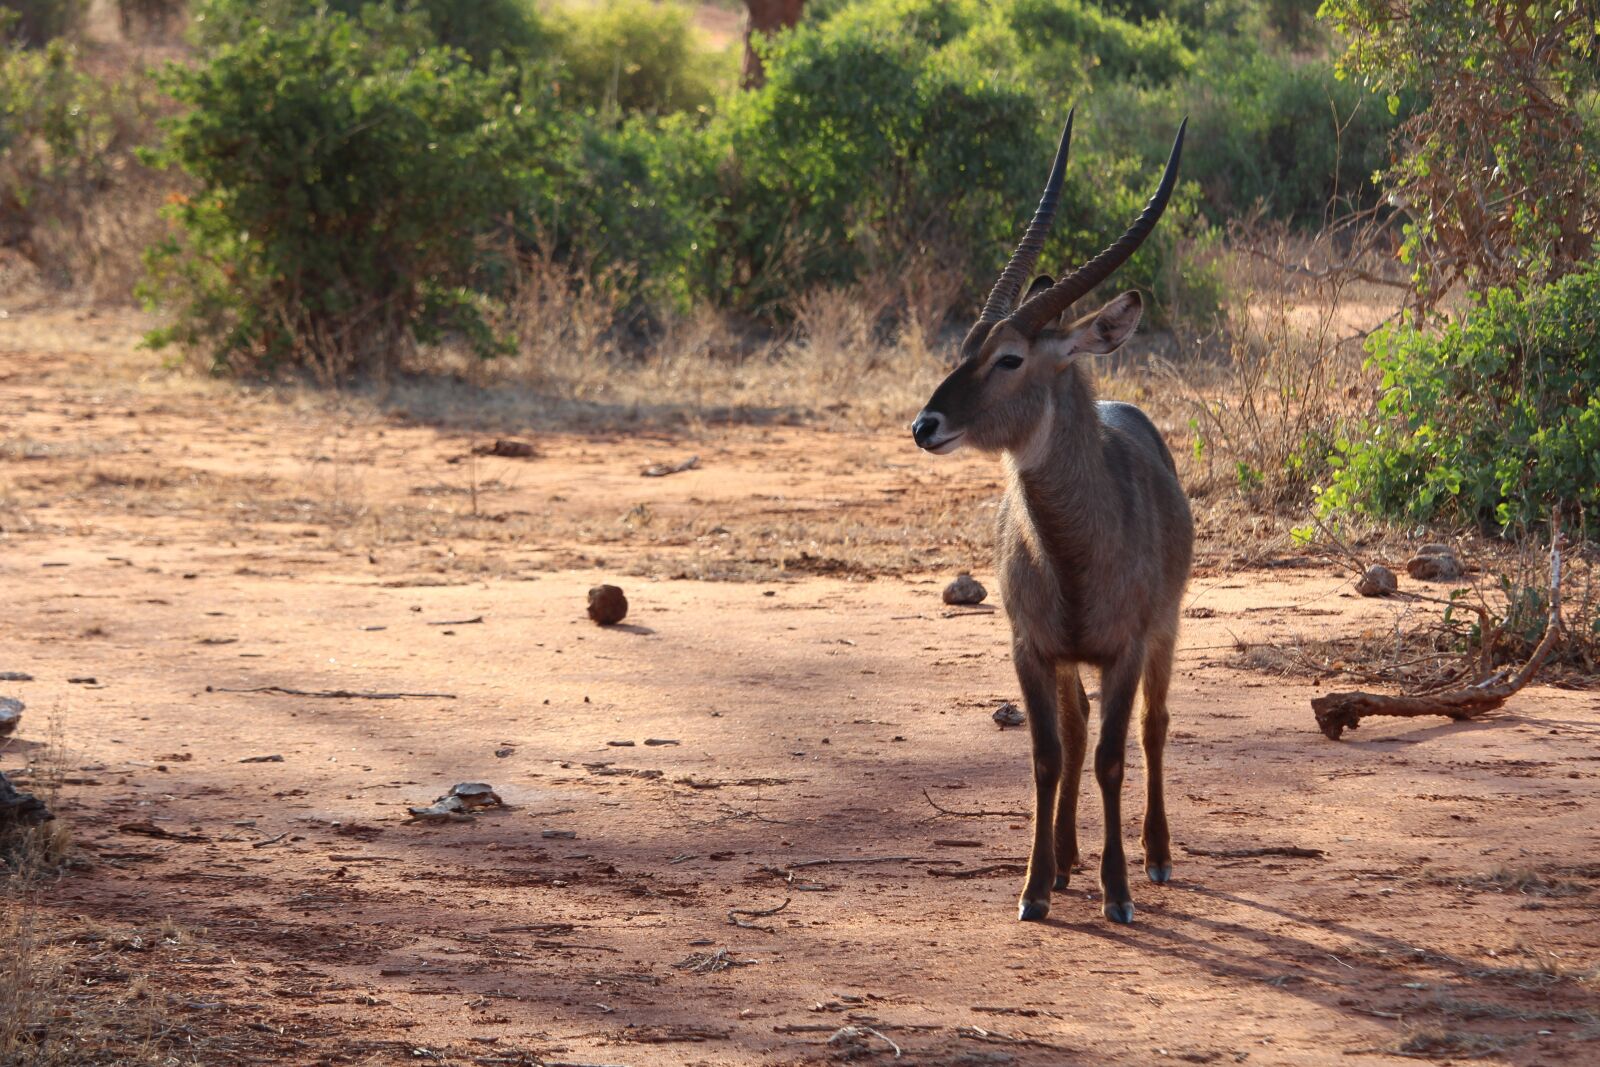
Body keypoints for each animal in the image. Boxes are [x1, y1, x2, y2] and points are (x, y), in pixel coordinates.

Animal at [911, 112, 1192, 924]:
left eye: (1010, 358)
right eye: (966, 346)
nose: (925, 425)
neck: (1074, 549)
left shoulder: (1126, 649)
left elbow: (1112, 756)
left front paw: (1118, 892)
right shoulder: (1032, 648)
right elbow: (1048, 754)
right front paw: (1035, 887)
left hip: (1165, 632)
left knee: (1153, 728)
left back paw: (1156, 857)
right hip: (1070, 657)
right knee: (1073, 729)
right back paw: (1066, 860)